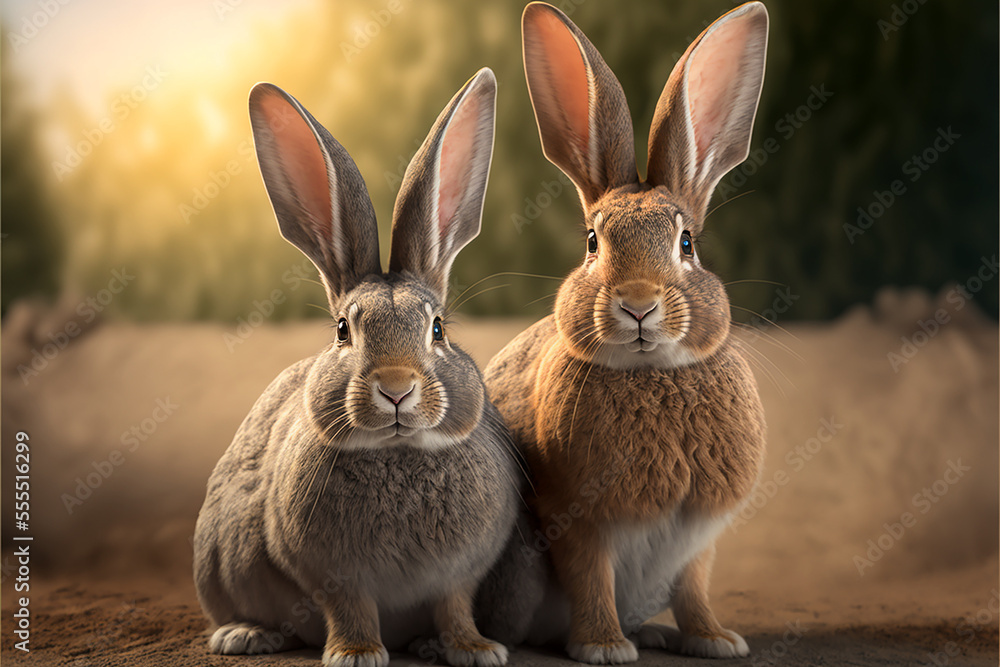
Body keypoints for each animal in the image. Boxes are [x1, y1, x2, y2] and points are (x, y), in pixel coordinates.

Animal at [193, 68, 521, 667]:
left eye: (437, 328)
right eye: (343, 330)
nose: (395, 389)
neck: (398, 451)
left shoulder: (459, 576)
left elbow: (455, 606)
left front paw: (476, 649)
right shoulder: (332, 576)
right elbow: (349, 608)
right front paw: (357, 654)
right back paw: (245, 635)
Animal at [475, 2, 769, 664]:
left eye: (686, 244)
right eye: (592, 242)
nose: (638, 305)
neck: (651, 373)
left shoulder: (697, 538)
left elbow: (695, 587)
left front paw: (714, 639)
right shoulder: (578, 522)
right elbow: (591, 580)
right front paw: (604, 647)